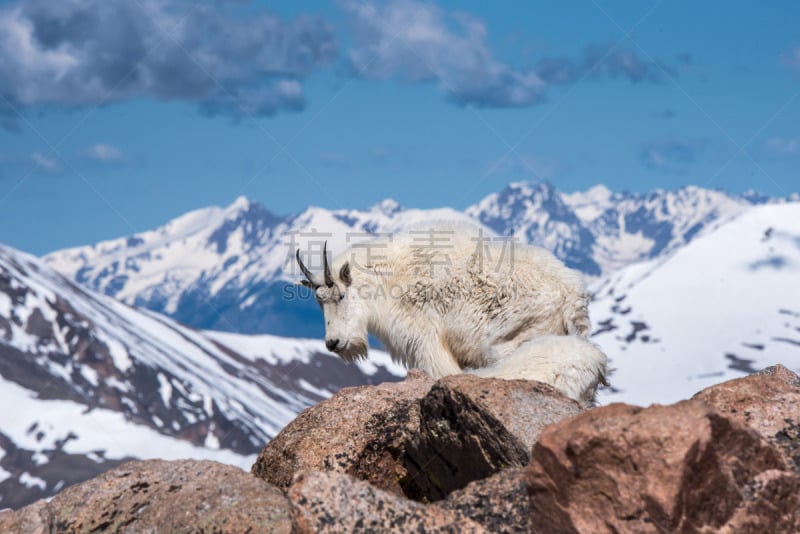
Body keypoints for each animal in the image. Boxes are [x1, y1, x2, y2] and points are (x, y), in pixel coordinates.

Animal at [296, 228, 608, 408]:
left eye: (340, 295)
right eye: (319, 301)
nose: (333, 343)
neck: (388, 279)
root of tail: (573, 298)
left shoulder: (425, 340)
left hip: (516, 339)